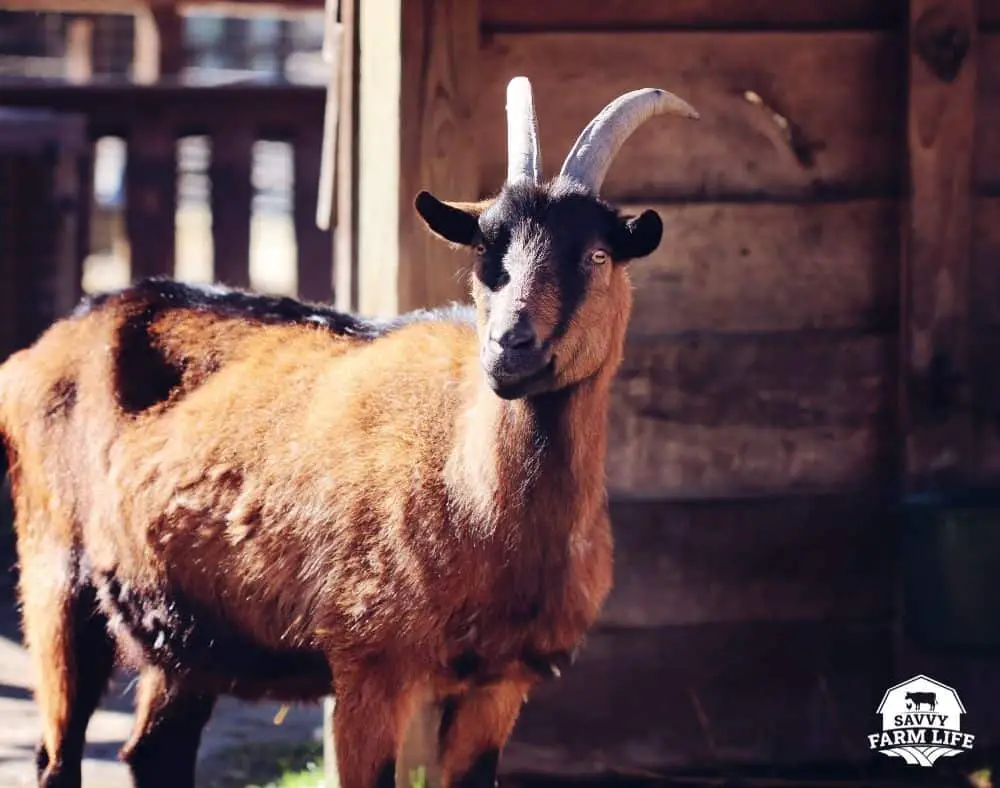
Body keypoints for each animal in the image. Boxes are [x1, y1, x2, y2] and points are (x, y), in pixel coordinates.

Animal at [0, 76, 698, 788]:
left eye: (598, 254)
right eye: (485, 253)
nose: (510, 348)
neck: (474, 500)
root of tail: (54, 338)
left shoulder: (500, 681)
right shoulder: (370, 665)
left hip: (187, 630)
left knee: (155, 749)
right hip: (56, 573)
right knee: (58, 752)